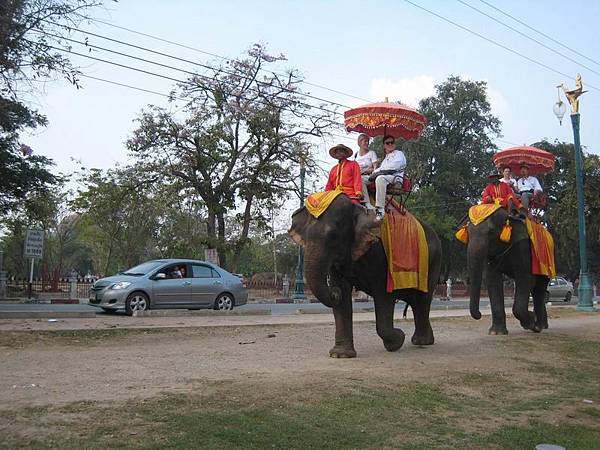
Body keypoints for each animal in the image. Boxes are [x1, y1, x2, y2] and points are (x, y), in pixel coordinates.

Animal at [288, 195, 442, 356]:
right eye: (305, 237)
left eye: (333, 236)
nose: (334, 292)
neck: (357, 207)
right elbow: (342, 291)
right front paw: (340, 355)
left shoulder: (382, 255)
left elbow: (383, 294)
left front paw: (397, 340)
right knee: (415, 301)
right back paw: (421, 340)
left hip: (433, 261)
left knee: (423, 298)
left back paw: (422, 342)